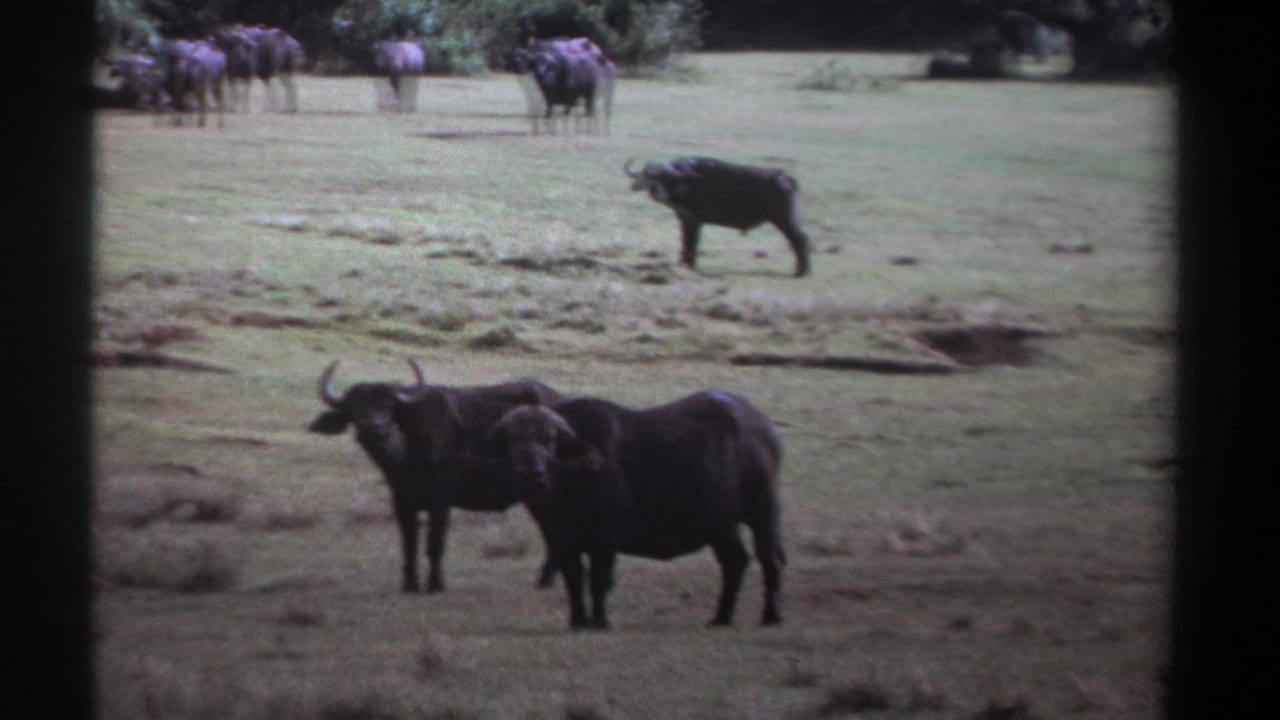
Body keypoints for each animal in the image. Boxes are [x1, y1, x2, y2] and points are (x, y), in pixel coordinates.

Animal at [308, 360, 562, 593]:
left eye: (388, 405)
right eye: (355, 407)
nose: (373, 427)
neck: (407, 451)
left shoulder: (441, 500)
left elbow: (434, 543)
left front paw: (435, 584)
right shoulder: (401, 501)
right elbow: (409, 542)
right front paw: (410, 585)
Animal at [481, 391, 785, 630]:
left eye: (550, 439)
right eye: (512, 440)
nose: (531, 471)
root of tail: (764, 427)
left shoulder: (605, 539)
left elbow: (599, 580)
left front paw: (599, 621)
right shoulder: (561, 540)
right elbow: (573, 580)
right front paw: (578, 621)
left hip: (762, 512)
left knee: (769, 559)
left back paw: (770, 616)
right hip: (721, 525)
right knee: (735, 562)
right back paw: (721, 617)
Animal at [626, 156, 813, 277]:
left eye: (665, 178)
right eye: (648, 177)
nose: (657, 193)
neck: (686, 183)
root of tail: (787, 179)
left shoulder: (693, 221)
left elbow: (690, 242)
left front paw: (689, 264)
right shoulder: (685, 219)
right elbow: (686, 241)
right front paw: (684, 263)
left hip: (785, 220)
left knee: (800, 240)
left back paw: (801, 271)